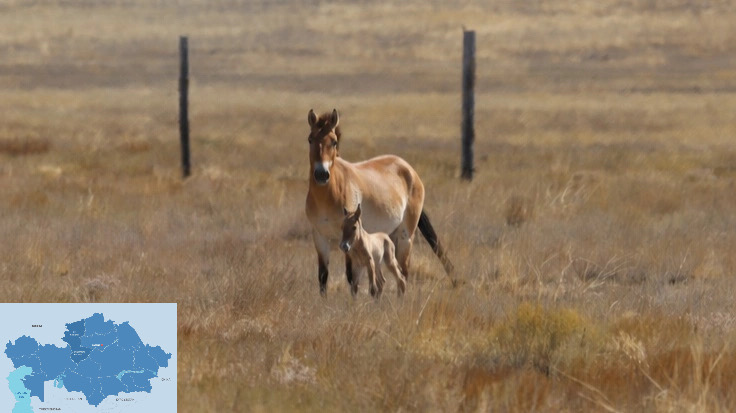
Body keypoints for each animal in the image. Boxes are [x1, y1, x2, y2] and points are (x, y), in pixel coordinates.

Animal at [304, 109, 454, 296]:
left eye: (334, 141)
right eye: (310, 139)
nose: (321, 174)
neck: (328, 195)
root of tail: (409, 169)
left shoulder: (348, 240)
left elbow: (352, 277)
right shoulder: (320, 239)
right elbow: (323, 278)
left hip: (405, 237)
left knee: (403, 272)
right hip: (390, 237)